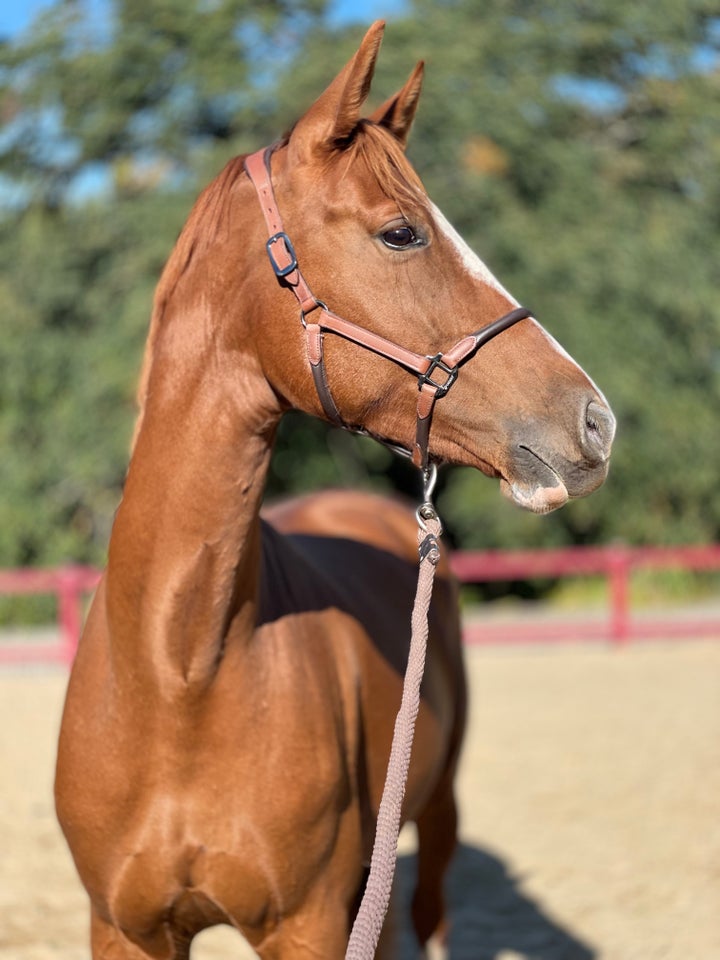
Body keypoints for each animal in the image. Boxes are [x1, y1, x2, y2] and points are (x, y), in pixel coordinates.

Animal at [54, 20, 612, 960]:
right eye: (401, 233)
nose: (596, 422)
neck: (177, 677)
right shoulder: (123, 929)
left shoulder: (309, 922)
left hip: (432, 815)